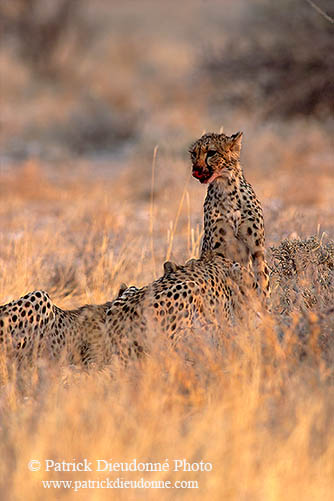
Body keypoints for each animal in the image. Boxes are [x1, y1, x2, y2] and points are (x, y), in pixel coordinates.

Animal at [189, 131, 270, 300]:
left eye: (211, 152)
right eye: (194, 154)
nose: (195, 169)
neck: (226, 188)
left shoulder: (257, 248)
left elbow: (263, 279)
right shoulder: (217, 252)